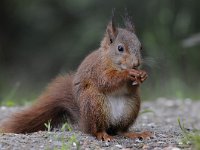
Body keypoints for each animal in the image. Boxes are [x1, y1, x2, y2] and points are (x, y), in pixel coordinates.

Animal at [0, 15, 152, 141]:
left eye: (141, 47)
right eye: (120, 48)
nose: (136, 64)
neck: (110, 60)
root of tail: (84, 121)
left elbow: (131, 88)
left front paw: (142, 75)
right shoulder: (97, 70)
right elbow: (106, 81)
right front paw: (128, 74)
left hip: (131, 106)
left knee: (120, 130)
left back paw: (134, 133)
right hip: (94, 103)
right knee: (95, 130)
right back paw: (102, 134)